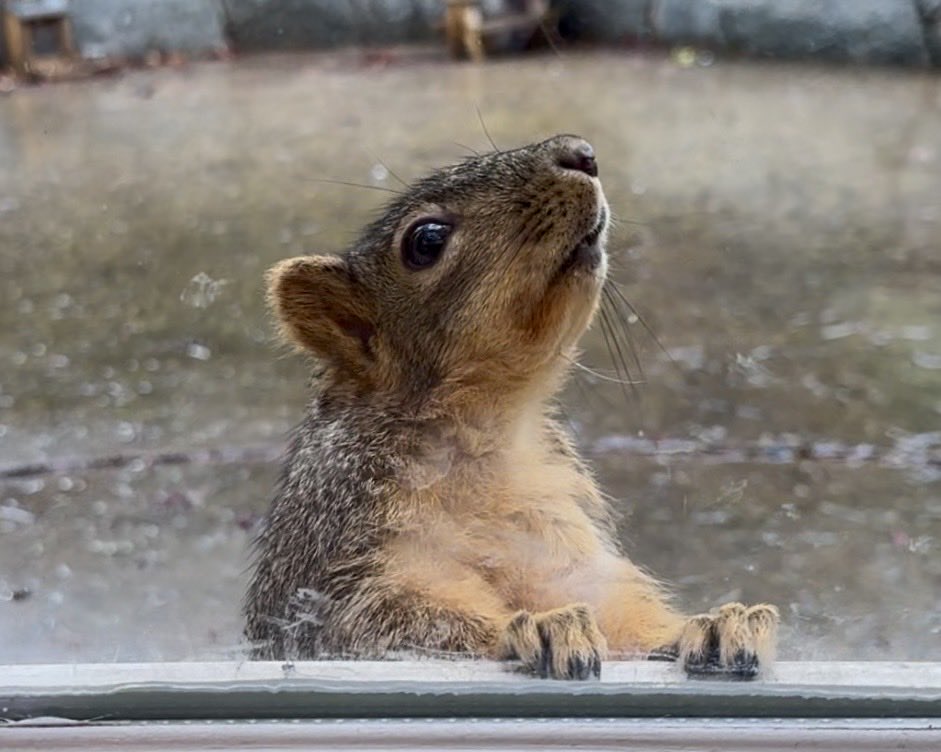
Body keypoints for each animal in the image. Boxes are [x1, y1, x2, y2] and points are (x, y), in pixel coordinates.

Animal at [243, 135, 779, 679]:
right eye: (425, 241)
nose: (581, 153)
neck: (489, 430)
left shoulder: (566, 559)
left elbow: (629, 624)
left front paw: (717, 624)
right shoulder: (341, 569)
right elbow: (398, 629)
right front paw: (541, 626)